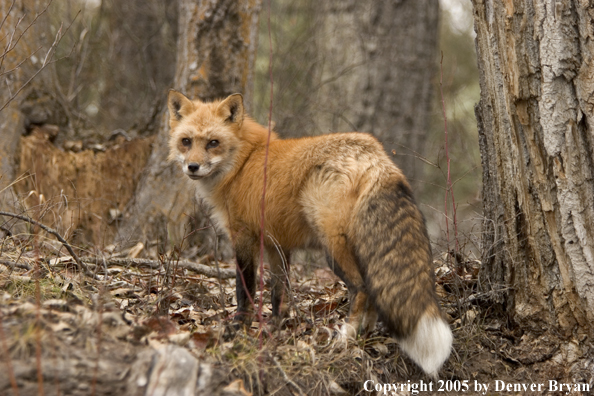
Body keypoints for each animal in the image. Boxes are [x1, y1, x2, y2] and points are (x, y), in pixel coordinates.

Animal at [164, 90, 450, 378]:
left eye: (213, 143)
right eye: (186, 142)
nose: (192, 166)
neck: (244, 163)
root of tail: (373, 153)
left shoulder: (243, 236)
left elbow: (244, 290)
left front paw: (238, 328)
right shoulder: (276, 244)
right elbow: (278, 292)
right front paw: (275, 328)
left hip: (332, 249)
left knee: (362, 289)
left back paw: (345, 337)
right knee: (371, 295)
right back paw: (364, 338)